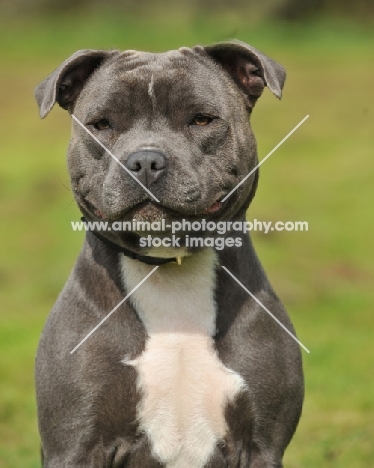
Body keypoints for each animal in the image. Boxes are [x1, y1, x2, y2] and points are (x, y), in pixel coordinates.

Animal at [34, 42, 304, 466]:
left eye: (201, 120)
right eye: (101, 124)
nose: (145, 160)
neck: (169, 271)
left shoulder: (261, 445)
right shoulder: (75, 444)